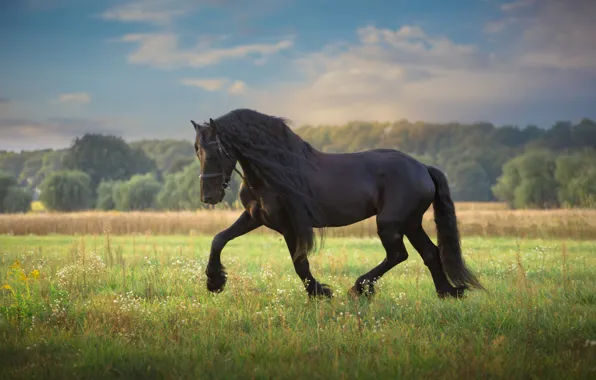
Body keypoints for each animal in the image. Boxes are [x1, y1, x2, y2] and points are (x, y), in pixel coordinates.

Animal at [192, 108, 484, 298]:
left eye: (217, 150)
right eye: (197, 150)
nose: (208, 197)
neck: (273, 170)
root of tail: (423, 168)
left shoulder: (290, 226)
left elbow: (300, 262)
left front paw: (319, 292)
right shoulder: (255, 217)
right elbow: (219, 239)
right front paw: (214, 282)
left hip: (390, 223)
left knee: (398, 254)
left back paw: (360, 288)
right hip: (411, 223)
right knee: (430, 253)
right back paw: (448, 292)